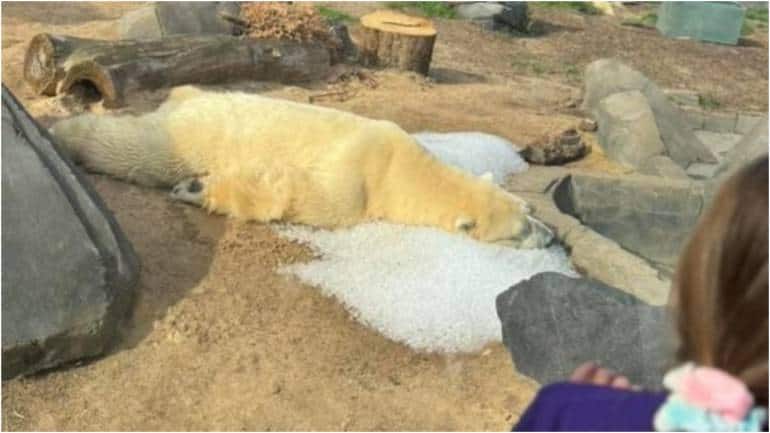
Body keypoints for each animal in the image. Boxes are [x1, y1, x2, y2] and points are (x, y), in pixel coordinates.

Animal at [50, 85, 554, 249]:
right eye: (520, 230)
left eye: (530, 213)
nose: (551, 238)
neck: (404, 167)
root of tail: (187, 96)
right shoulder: (358, 178)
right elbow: (307, 197)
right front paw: (198, 188)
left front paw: (198, 188)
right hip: (192, 132)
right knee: (139, 149)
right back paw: (66, 133)